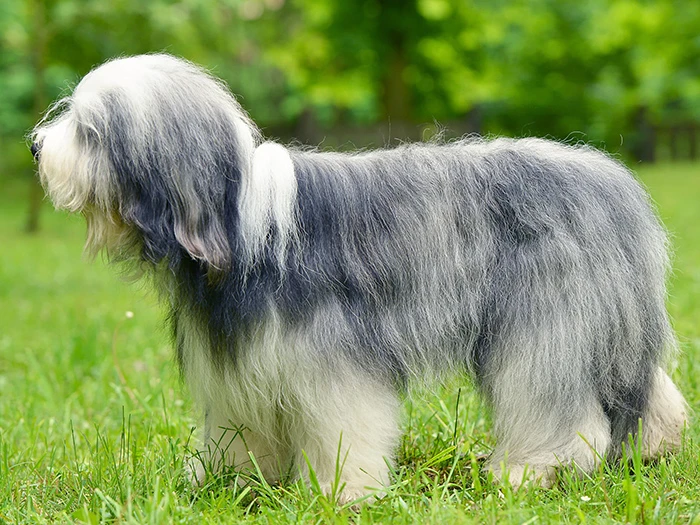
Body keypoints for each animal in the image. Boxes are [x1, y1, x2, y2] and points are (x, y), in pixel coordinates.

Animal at [30, 54, 688, 504]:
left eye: (89, 132)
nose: (35, 147)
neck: (238, 222)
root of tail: (614, 183)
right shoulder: (242, 364)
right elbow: (243, 431)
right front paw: (232, 483)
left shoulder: (331, 359)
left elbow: (347, 425)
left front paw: (342, 494)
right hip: (607, 328)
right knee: (645, 389)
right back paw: (656, 447)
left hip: (546, 327)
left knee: (560, 404)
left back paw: (530, 469)